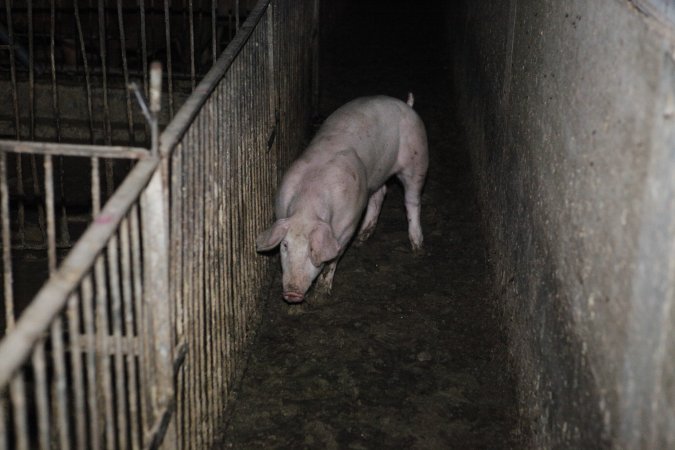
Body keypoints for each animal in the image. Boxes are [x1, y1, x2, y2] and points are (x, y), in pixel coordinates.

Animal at [256, 93, 430, 304]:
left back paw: (417, 247)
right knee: (381, 193)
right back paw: (362, 239)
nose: (292, 294)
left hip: (418, 159)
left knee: (412, 200)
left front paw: (321, 295)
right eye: (285, 245)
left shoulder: (348, 224)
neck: (308, 206)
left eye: (311, 249)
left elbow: (333, 259)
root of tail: (406, 105)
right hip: (377, 175)